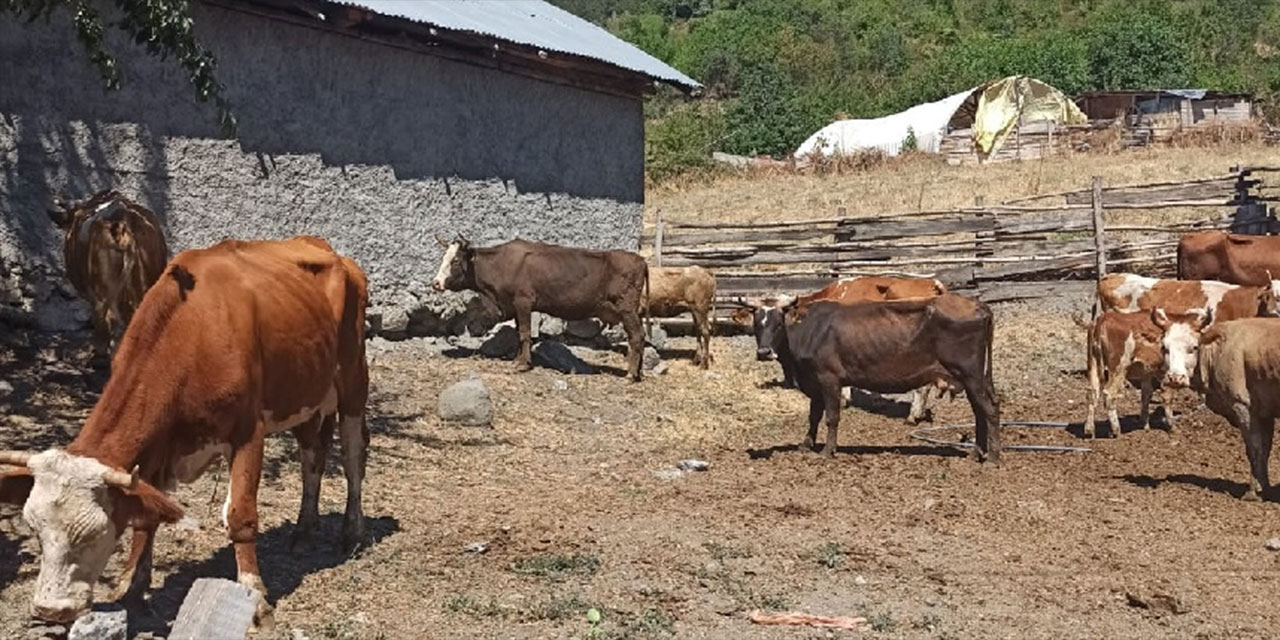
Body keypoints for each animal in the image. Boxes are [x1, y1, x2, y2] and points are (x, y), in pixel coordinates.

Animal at [768, 294, 998, 465]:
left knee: (990, 410)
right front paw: (806, 444)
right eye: (760, 322)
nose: (764, 352)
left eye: (778, 324)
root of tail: (979, 305)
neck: (810, 329)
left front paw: (827, 451)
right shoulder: (815, 382)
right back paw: (976, 453)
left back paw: (993, 458)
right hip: (975, 380)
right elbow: (814, 415)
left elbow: (831, 417)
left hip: (970, 376)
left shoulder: (828, 378)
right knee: (981, 411)